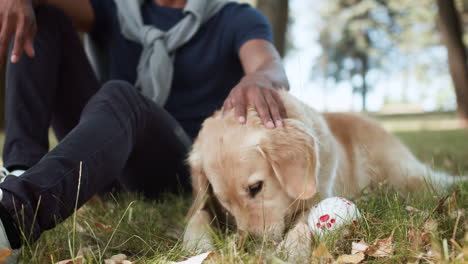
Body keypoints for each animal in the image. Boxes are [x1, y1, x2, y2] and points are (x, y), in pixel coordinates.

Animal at [182, 89, 460, 258]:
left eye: (256, 188)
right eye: (226, 203)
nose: (249, 245)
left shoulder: (317, 196)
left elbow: (303, 223)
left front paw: (291, 250)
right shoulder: (206, 204)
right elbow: (197, 217)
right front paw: (197, 247)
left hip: (403, 176)